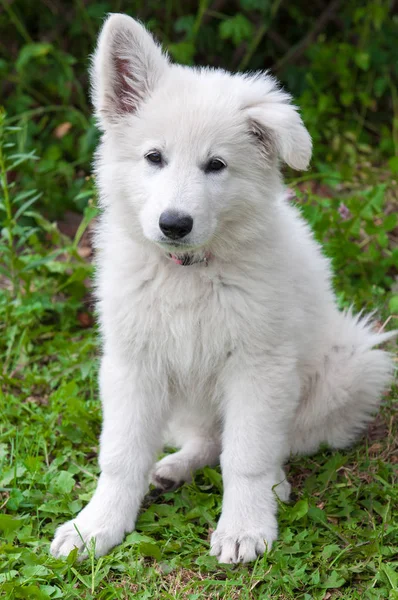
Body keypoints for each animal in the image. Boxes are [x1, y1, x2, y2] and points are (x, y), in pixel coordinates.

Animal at [51, 15, 396, 568]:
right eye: (154, 157)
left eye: (216, 165)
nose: (174, 224)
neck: (188, 272)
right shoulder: (133, 363)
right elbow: (121, 454)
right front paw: (96, 526)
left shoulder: (259, 365)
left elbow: (248, 454)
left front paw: (244, 526)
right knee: (206, 439)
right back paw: (173, 467)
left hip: (350, 366)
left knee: (276, 443)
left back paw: (275, 486)